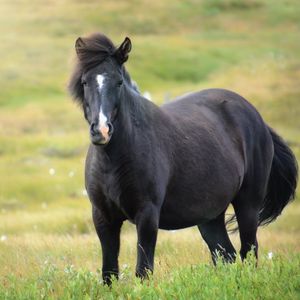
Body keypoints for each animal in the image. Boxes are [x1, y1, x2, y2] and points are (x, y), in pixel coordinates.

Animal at [68, 32, 298, 284]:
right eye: (85, 82)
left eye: (118, 82)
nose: (101, 130)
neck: (114, 160)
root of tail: (257, 118)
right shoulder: (103, 218)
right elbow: (109, 274)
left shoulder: (147, 216)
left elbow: (143, 271)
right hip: (210, 217)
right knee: (226, 256)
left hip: (248, 205)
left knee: (249, 252)